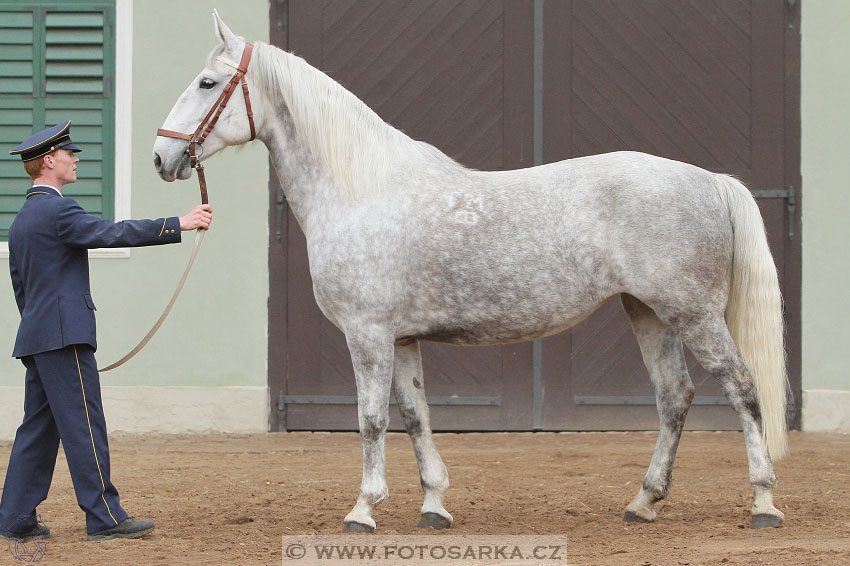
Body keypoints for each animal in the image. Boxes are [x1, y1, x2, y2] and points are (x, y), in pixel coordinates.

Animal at [152, 14, 788, 536]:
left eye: (207, 83)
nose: (162, 158)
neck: (360, 190)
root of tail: (708, 179)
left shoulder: (367, 334)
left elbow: (371, 420)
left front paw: (363, 509)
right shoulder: (401, 338)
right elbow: (416, 416)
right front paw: (434, 505)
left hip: (693, 313)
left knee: (743, 388)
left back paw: (763, 503)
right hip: (649, 312)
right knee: (673, 397)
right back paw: (644, 502)